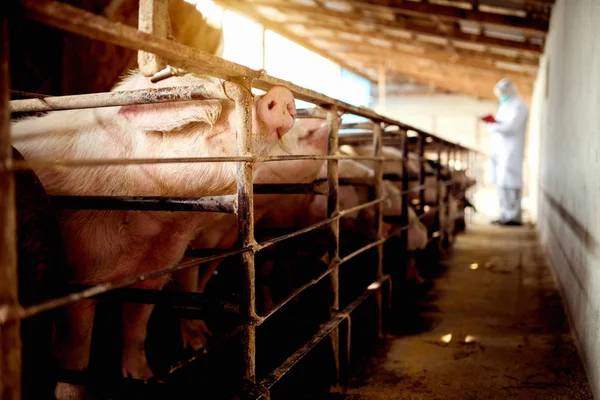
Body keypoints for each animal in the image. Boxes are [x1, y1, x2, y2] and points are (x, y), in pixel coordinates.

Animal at [11, 70, 296, 398]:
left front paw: (148, 379)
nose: (281, 95)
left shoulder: (156, 270)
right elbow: (77, 354)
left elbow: (137, 327)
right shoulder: (79, 277)